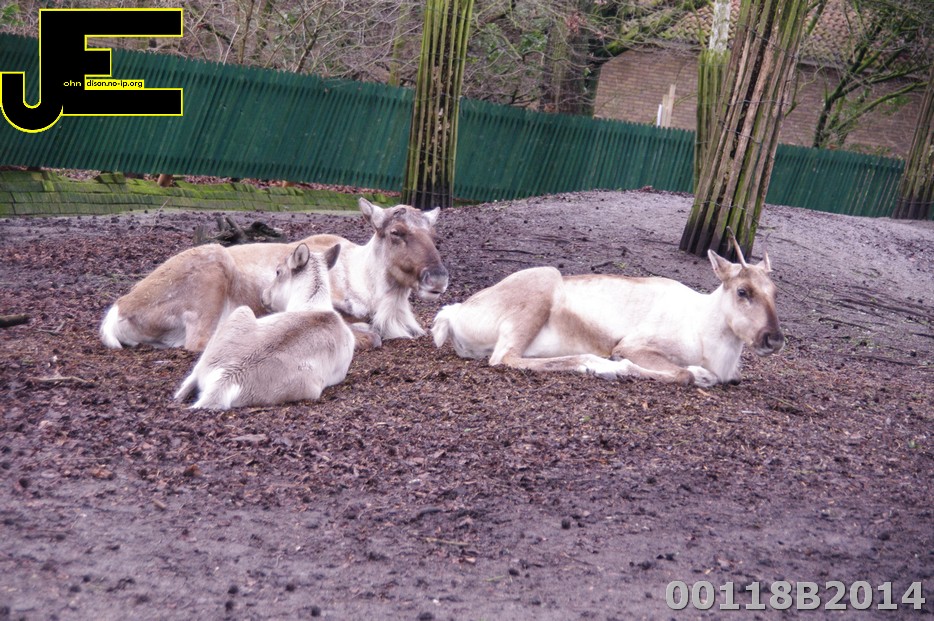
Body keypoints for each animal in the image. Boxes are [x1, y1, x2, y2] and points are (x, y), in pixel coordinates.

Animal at [100, 198, 448, 351]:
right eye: (396, 232)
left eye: (433, 233)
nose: (438, 278)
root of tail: (118, 310)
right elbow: (369, 333)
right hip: (212, 272)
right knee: (200, 341)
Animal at [432, 242, 784, 387]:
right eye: (743, 291)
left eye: (775, 291)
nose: (774, 339)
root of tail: (456, 312)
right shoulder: (633, 345)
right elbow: (682, 373)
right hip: (542, 284)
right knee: (505, 358)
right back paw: (599, 367)